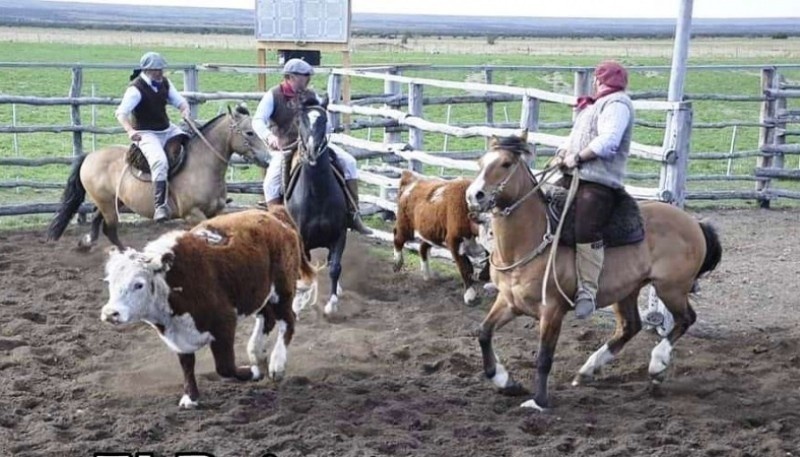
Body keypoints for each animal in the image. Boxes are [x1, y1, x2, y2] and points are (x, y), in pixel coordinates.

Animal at [46, 104, 268, 249]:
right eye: (249, 132)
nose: (267, 158)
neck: (202, 165)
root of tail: (89, 156)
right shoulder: (192, 214)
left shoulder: (217, 211)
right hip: (107, 204)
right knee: (110, 230)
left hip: (113, 202)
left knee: (98, 223)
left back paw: (87, 243)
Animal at [98, 208, 314, 408]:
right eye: (109, 282)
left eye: (139, 284)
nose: (110, 313)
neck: (172, 283)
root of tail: (275, 216)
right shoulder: (179, 336)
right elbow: (187, 365)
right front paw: (191, 397)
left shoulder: (224, 323)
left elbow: (225, 367)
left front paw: (253, 372)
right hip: (260, 292)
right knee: (267, 318)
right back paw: (256, 352)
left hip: (282, 290)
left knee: (288, 320)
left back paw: (277, 365)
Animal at [288, 103, 350, 318]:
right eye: (301, 121)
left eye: (323, 120)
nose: (313, 150)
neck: (317, 194)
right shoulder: (302, 241)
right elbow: (304, 270)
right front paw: (299, 303)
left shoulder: (339, 235)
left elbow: (335, 267)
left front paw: (332, 304)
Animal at [392, 169, 494, 304]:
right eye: (492, 232)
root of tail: (411, 178)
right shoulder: (453, 241)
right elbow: (465, 267)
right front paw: (470, 295)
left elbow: (486, 264)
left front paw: (481, 276)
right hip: (405, 226)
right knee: (398, 239)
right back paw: (397, 263)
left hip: (431, 232)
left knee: (423, 247)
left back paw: (427, 274)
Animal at [466, 132, 720, 410]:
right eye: (480, 162)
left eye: (506, 164)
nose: (474, 195)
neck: (530, 241)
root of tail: (694, 223)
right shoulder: (509, 301)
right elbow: (483, 333)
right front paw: (505, 381)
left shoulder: (552, 310)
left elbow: (544, 357)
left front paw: (539, 402)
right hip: (628, 290)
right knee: (630, 327)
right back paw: (587, 370)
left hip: (671, 288)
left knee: (686, 319)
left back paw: (657, 364)